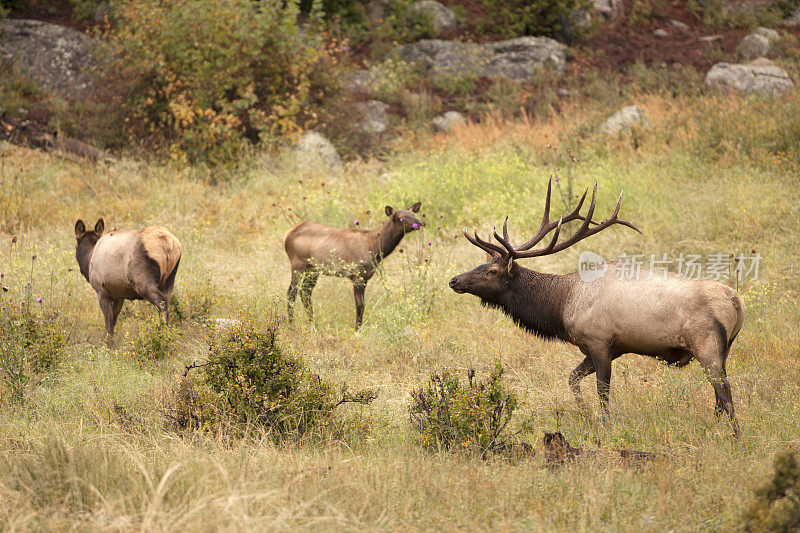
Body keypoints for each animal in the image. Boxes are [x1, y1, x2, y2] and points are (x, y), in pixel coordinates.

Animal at [74, 219, 183, 348]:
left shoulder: (102, 291)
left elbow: (108, 321)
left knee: (161, 302)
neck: (89, 258)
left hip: (142, 281)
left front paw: (107, 345)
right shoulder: (119, 296)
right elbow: (114, 319)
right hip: (169, 280)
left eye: (76, 246)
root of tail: (167, 244)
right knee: (166, 300)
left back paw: (160, 337)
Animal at [288, 203, 424, 328]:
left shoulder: (365, 277)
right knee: (291, 292)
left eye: (413, 214)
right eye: (400, 218)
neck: (374, 247)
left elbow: (362, 305)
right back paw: (291, 325)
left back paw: (313, 324)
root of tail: (287, 235)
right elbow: (360, 305)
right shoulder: (358, 275)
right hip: (297, 264)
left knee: (305, 292)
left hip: (313, 269)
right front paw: (357, 329)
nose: (418, 223)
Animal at [450, 181, 744, 434]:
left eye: (491, 271)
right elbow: (572, 378)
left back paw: (735, 437)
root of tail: (737, 302)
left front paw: (605, 424)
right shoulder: (605, 348)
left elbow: (603, 390)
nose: (454, 280)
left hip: (706, 344)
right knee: (719, 398)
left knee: (725, 393)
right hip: (724, 348)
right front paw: (584, 415)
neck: (562, 306)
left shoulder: (599, 340)